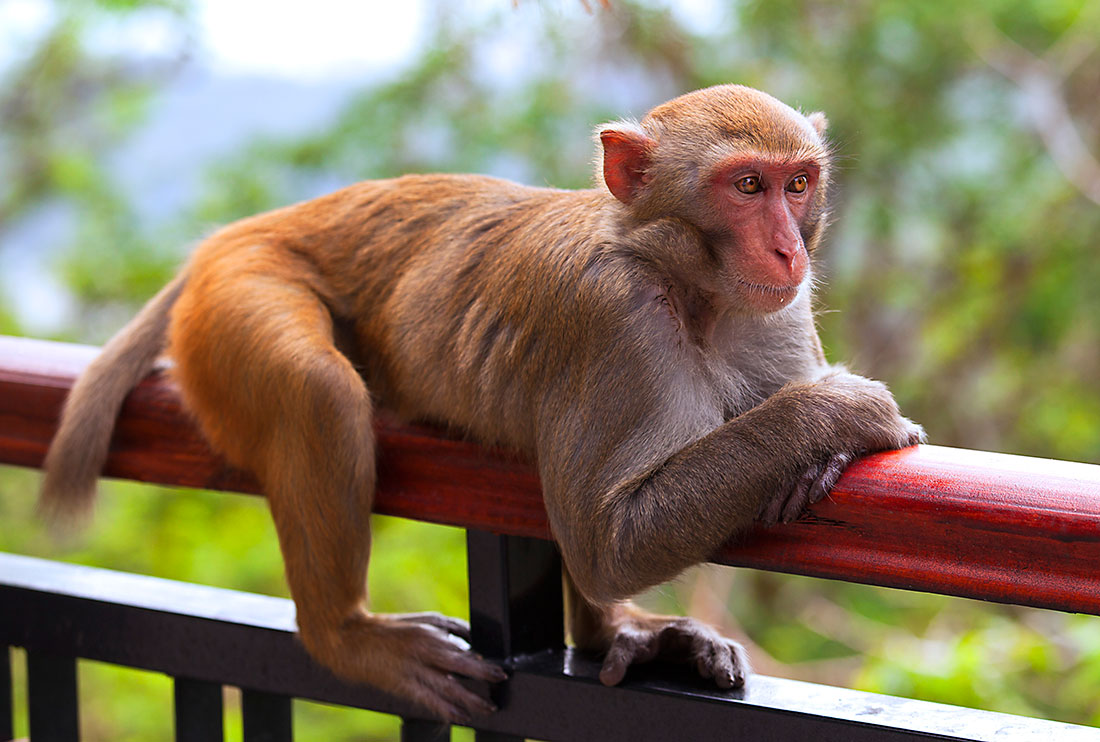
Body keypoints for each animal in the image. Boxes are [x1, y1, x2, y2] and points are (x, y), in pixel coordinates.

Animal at [38, 84, 924, 721]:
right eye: (746, 185)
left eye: (797, 184)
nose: (787, 249)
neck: (693, 288)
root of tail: (246, 230)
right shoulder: (613, 320)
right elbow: (611, 537)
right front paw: (845, 415)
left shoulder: (779, 312)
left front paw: (819, 460)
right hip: (235, 295)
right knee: (320, 392)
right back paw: (346, 636)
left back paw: (619, 632)